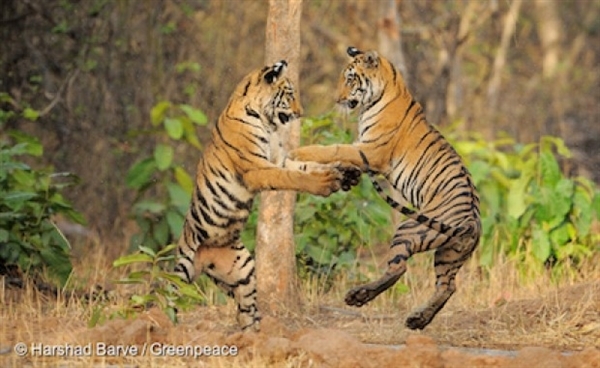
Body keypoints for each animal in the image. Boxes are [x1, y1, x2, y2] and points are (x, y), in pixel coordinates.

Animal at [171, 59, 358, 330]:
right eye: (289, 94)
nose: (300, 113)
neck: (263, 119)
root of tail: (204, 263)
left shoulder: (279, 159)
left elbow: (306, 167)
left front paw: (345, 172)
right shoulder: (258, 168)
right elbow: (293, 177)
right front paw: (325, 182)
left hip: (244, 270)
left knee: (245, 312)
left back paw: (254, 334)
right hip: (181, 267)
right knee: (166, 296)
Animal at [288, 46, 480, 330]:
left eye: (350, 79)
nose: (337, 99)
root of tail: (471, 222)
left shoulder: (370, 150)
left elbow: (335, 148)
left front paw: (299, 152)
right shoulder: (366, 153)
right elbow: (341, 160)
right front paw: (341, 176)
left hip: (411, 229)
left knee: (398, 268)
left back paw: (358, 296)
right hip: (450, 254)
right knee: (447, 286)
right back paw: (418, 319)